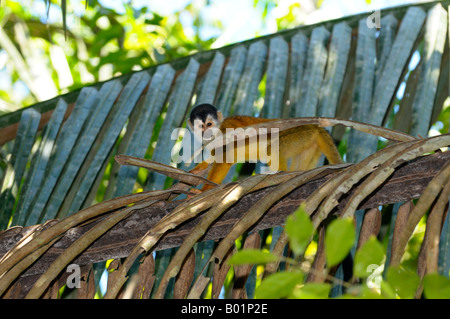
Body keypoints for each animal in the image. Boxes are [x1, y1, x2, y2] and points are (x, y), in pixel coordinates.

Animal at [186, 104, 342, 190]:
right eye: (201, 126)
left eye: (209, 124)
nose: (206, 132)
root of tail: (316, 126)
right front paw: (199, 168)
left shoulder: (226, 128)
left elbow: (225, 159)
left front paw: (203, 190)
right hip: (309, 144)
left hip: (298, 134)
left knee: (271, 148)